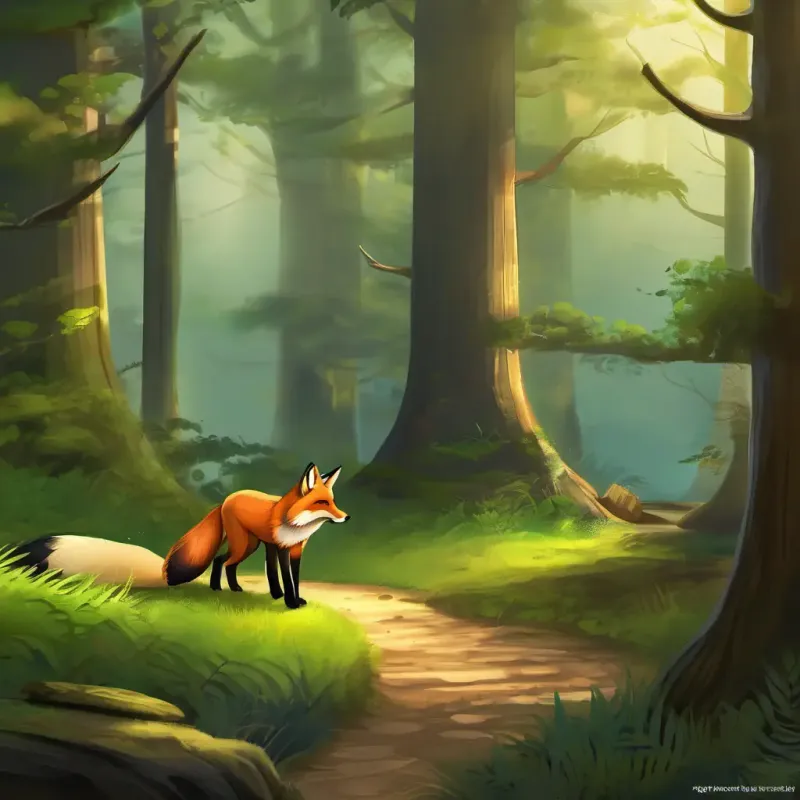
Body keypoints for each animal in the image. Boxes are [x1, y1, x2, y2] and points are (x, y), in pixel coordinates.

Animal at [4, 463, 349, 609]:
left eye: (332, 500)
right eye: (323, 502)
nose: (345, 517)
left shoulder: (291, 550)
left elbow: (290, 577)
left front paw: (291, 599)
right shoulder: (279, 547)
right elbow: (285, 577)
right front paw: (289, 601)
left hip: (249, 544)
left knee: (225, 562)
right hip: (245, 543)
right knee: (222, 561)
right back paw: (224, 588)